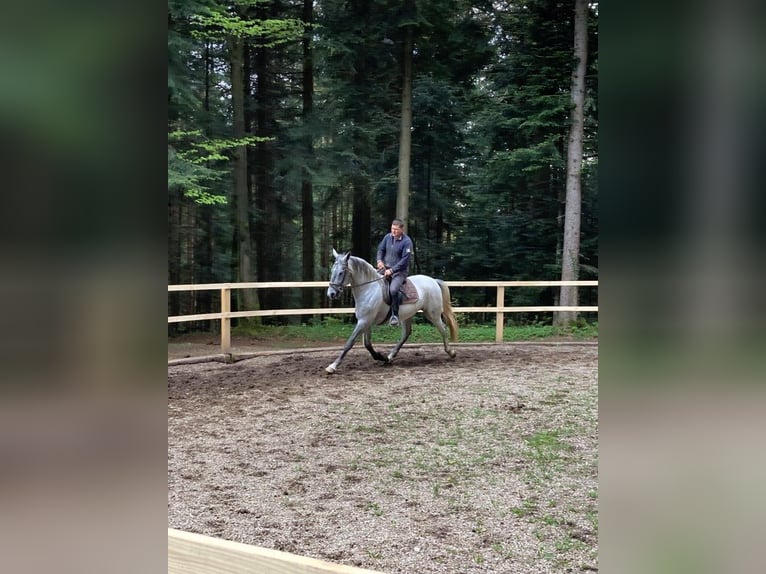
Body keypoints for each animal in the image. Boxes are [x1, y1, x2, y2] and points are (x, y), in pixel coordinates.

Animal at [324, 249, 458, 374]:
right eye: (332, 270)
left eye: (341, 272)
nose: (331, 294)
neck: (369, 289)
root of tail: (433, 280)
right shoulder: (365, 322)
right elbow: (367, 344)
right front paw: (382, 357)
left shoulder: (364, 321)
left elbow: (349, 343)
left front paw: (333, 366)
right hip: (407, 316)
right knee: (406, 333)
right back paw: (390, 356)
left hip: (433, 314)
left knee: (443, 329)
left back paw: (451, 352)